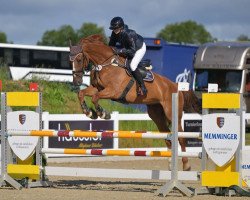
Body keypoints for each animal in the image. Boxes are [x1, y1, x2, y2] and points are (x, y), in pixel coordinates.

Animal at [69, 34, 201, 170]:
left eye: (79, 59)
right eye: (70, 61)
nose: (76, 81)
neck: (106, 64)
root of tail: (176, 86)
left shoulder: (113, 91)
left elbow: (95, 97)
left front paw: (102, 113)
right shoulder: (97, 88)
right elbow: (82, 94)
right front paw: (89, 112)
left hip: (172, 113)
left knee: (181, 137)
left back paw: (186, 164)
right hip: (156, 115)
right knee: (168, 137)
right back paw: (170, 163)